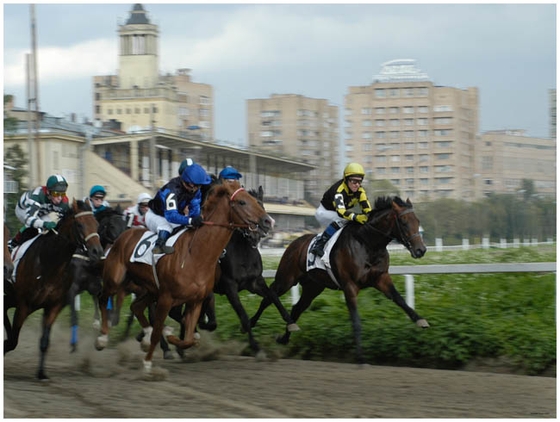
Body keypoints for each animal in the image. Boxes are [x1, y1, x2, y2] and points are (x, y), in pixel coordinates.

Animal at [4, 199, 104, 380]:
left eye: (96, 224)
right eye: (79, 224)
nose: (97, 251)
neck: (49, 262)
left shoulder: (53, 306)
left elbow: (44, 341)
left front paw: (42, 374)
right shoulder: (23, 306)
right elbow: (13, 340)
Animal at [94, 182, 274, 372]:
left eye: (258, 202)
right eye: (242, 202)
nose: (267, 221)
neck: (196, 254)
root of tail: (123, 236)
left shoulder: (197, 299)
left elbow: (189, 336)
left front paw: (175, 340)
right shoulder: (171, 297)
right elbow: (164, 328)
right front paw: (149, 363)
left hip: (150, 290)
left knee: (136, 307)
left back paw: (145, 338)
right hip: (116, 280)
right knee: (103, 298)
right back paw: (103, 339)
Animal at [252, 196, 430, 364]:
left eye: (418, 221)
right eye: (404, 222)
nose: (421, 250)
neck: (368, 242)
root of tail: (293, 242)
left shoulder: (381, 278)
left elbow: (399, 299)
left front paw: (420, 320)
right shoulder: (349, 286)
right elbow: (356, 322)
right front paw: (360, 358)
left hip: (313, 287)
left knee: (297, 308)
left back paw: (285, 336)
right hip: (286, 279)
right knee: (268, 297)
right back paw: (252, 324)